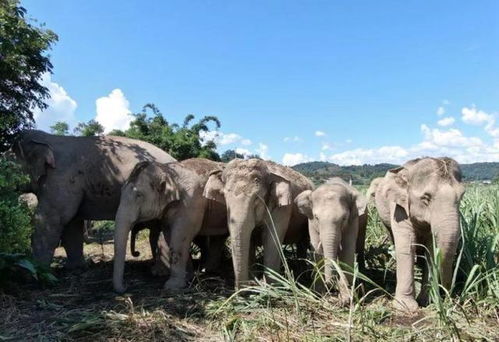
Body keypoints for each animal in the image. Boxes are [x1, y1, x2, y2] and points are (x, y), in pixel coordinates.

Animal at [11, 130, 176, 268]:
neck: (46, 139)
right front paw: (76, 268)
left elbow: (51, 219)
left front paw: (37, 271)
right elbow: (72, 224)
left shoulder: (60, 179)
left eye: (8, 164)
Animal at [112, 159, 228, 292]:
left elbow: (180, 237)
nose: (126, 287)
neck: (168, 170)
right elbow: (169, 235)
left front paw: (172, 286)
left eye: (139, 195)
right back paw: (208, 269)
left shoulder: (191, 203)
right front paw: (187, 277)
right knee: (219, 238)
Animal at [202, 159, 312, 290]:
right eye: (225, 197)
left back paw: (302, 276)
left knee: (303, 244)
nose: (241, 290)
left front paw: (270, 287)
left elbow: (271, 240)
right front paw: (253, 281)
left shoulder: (283, 208)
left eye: (256, 199)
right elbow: (250, 240)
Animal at [294, 176, 370, 304]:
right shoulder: (311, 223)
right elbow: (317, 251)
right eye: (317, 217)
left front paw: (346, 298)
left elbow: (347, 250)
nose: (332, 287)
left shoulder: (352, 221)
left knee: (360, 245)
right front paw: (318, 294)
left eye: (344, 218)